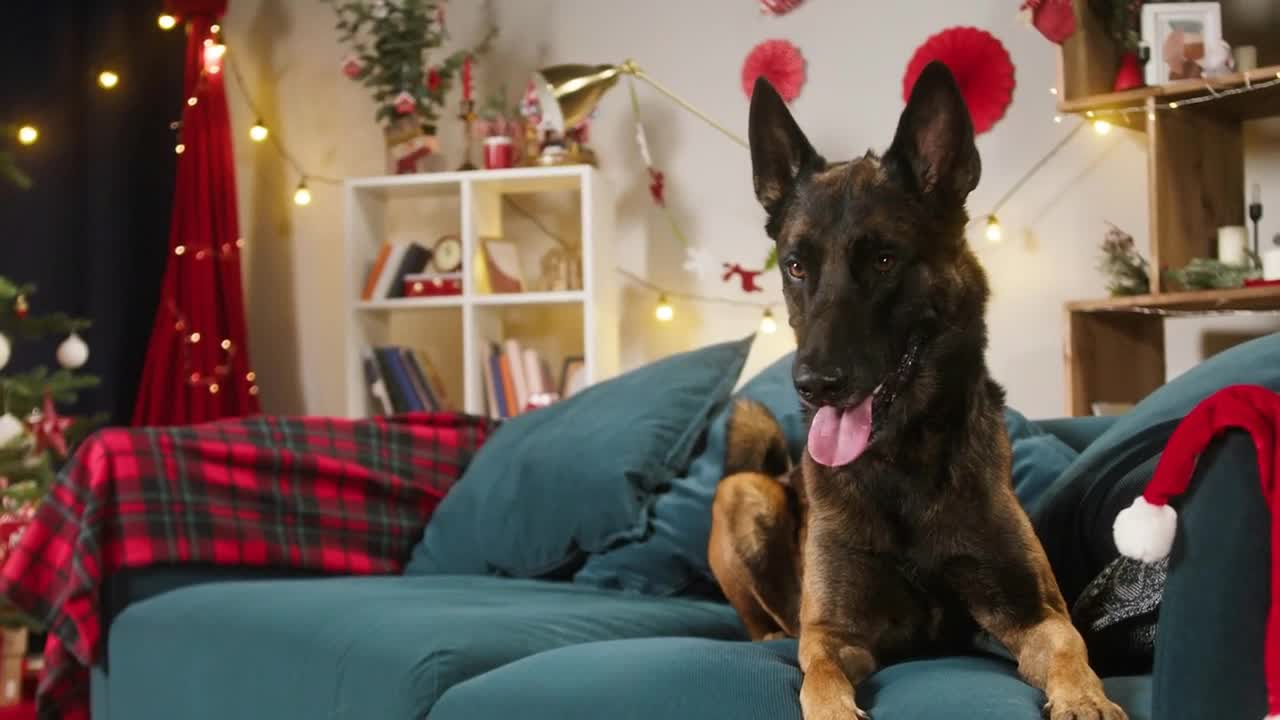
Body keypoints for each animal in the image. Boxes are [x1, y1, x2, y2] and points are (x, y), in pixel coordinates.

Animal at [706, 63, 1126, 717]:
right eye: (796, 266)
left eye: (883, 260)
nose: (814, 385)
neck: (901, 461)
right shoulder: (832, 634)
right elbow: (819, 678)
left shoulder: (1032, 611)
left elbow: (1068, 647)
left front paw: (1086, 700)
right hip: (742, 494)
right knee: (764, 621)